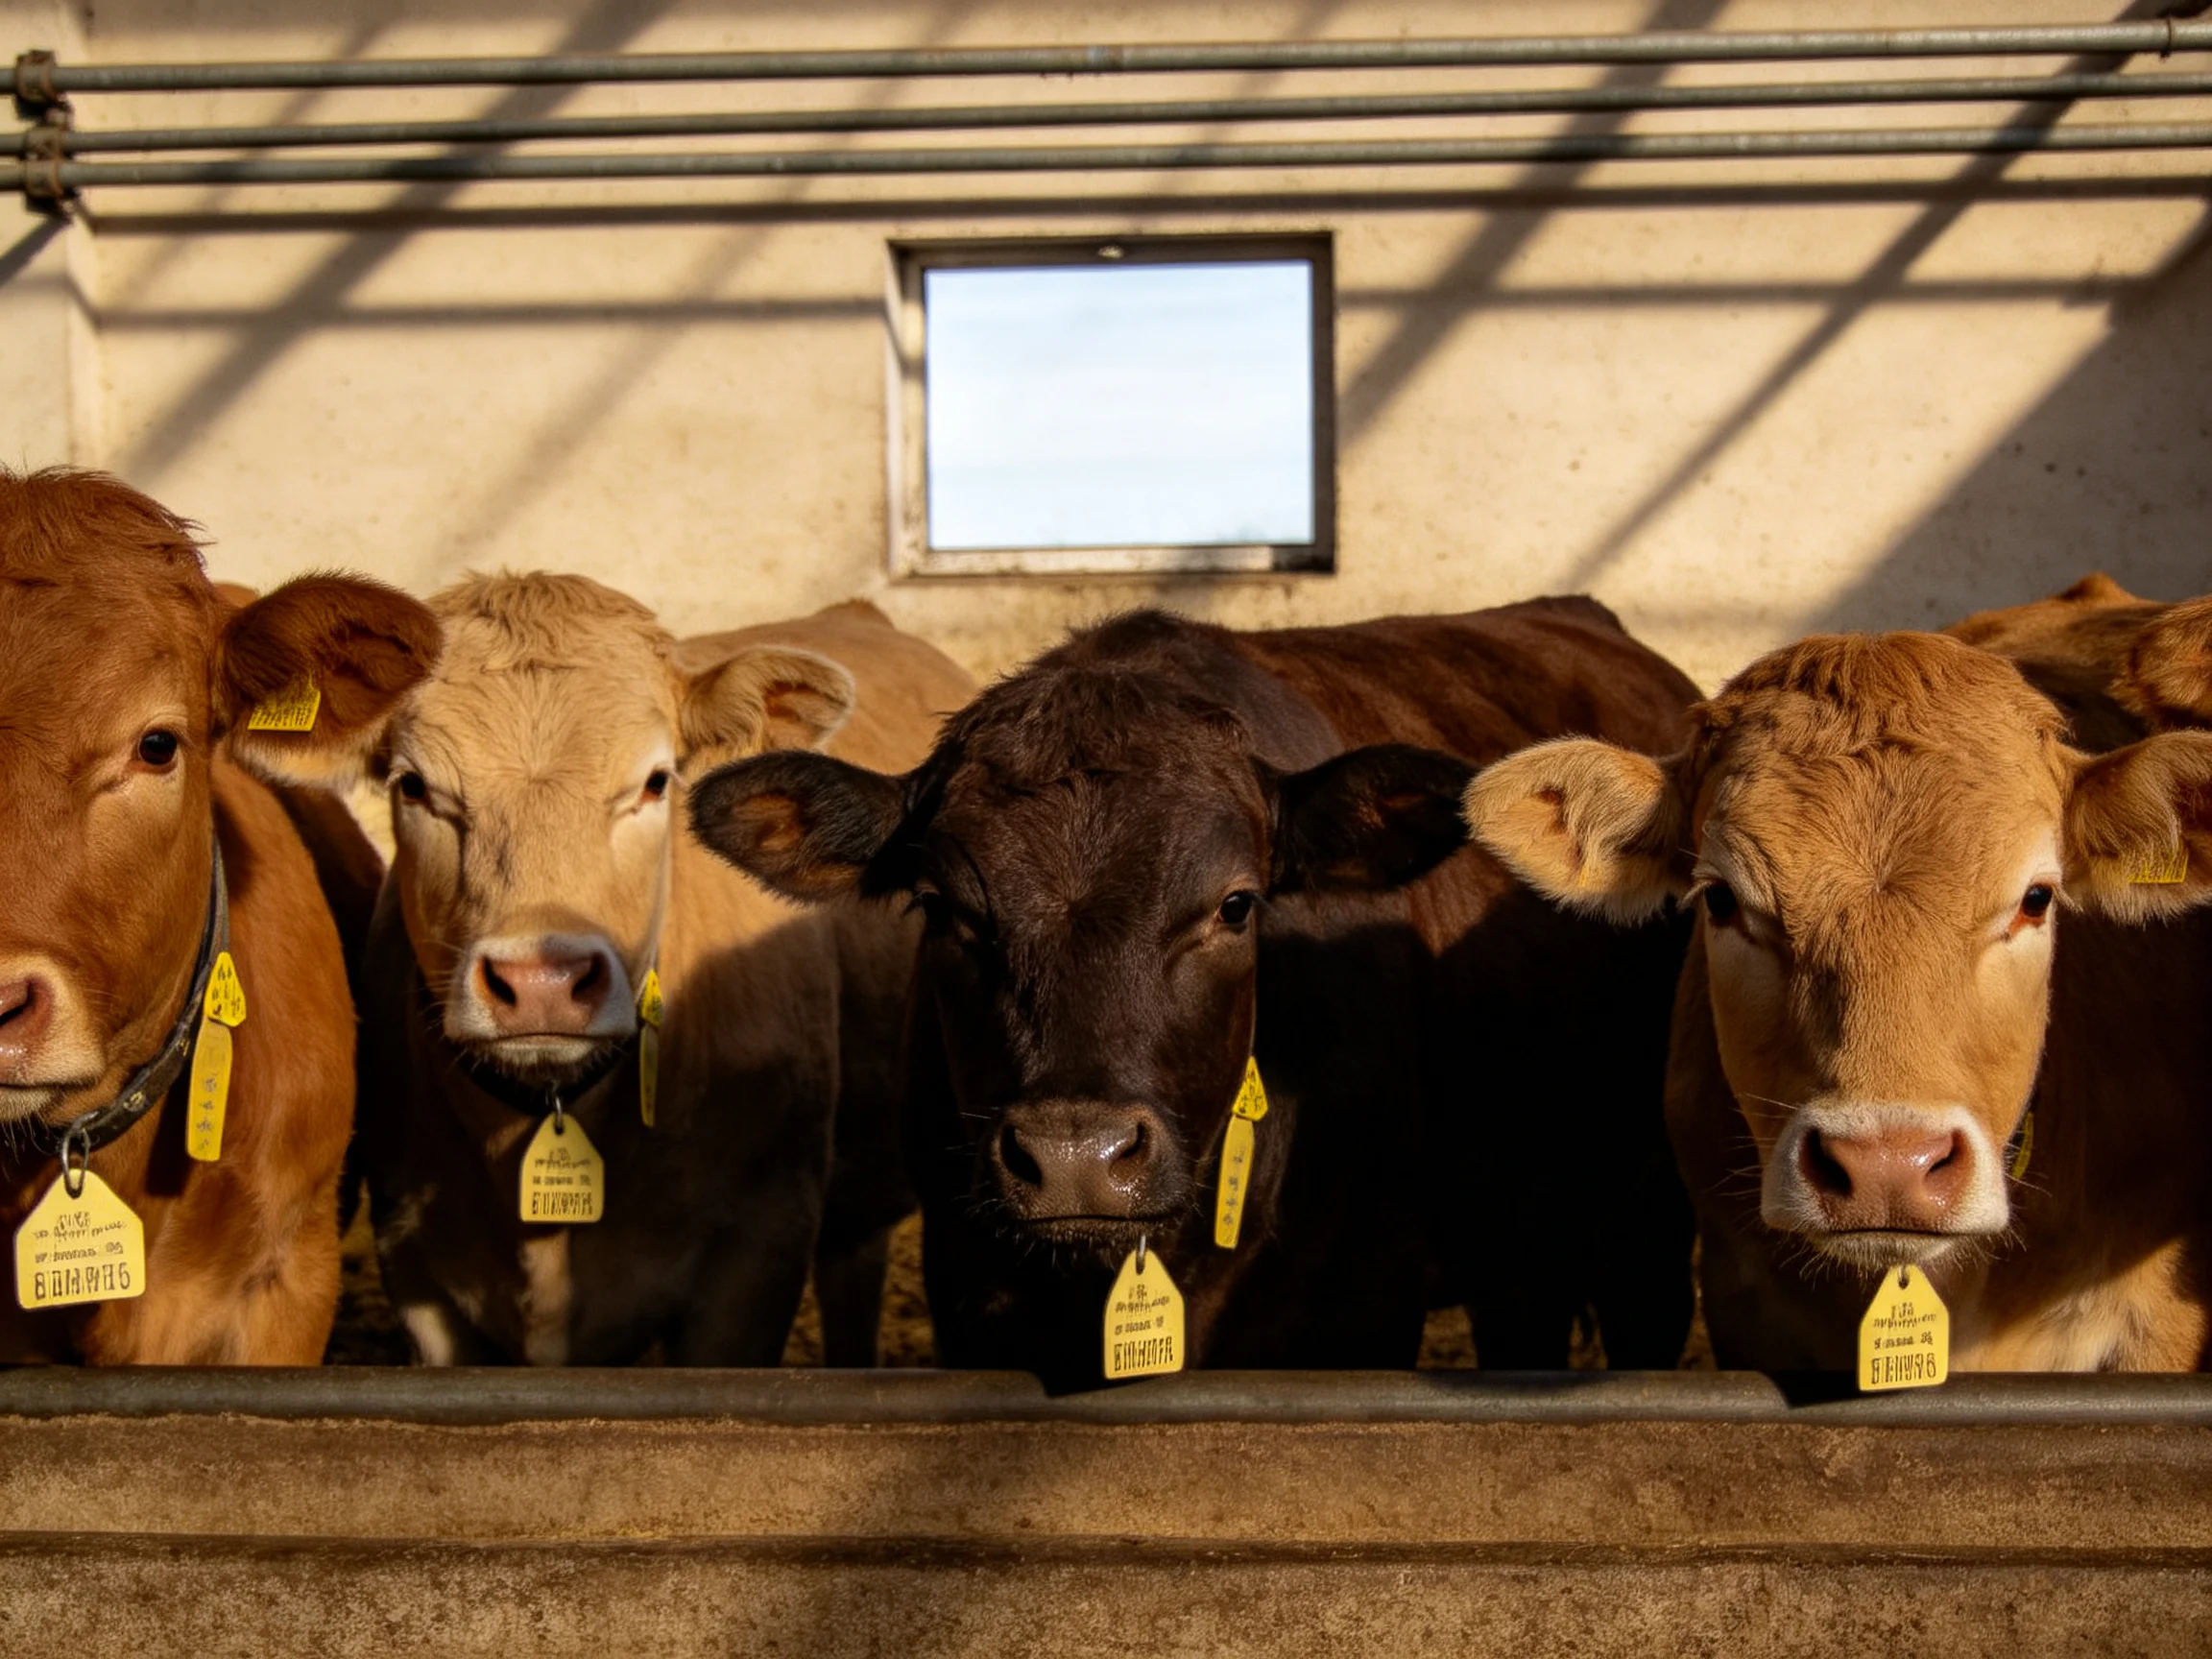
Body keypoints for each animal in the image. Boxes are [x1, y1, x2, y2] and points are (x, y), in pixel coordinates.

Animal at [689, 600, 1702, 1389]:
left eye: (1236, 904)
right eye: (943, 910)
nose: (1075, 1157)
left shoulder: (1363, 1303)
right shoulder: (969, 1295)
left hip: (1648, 1226)